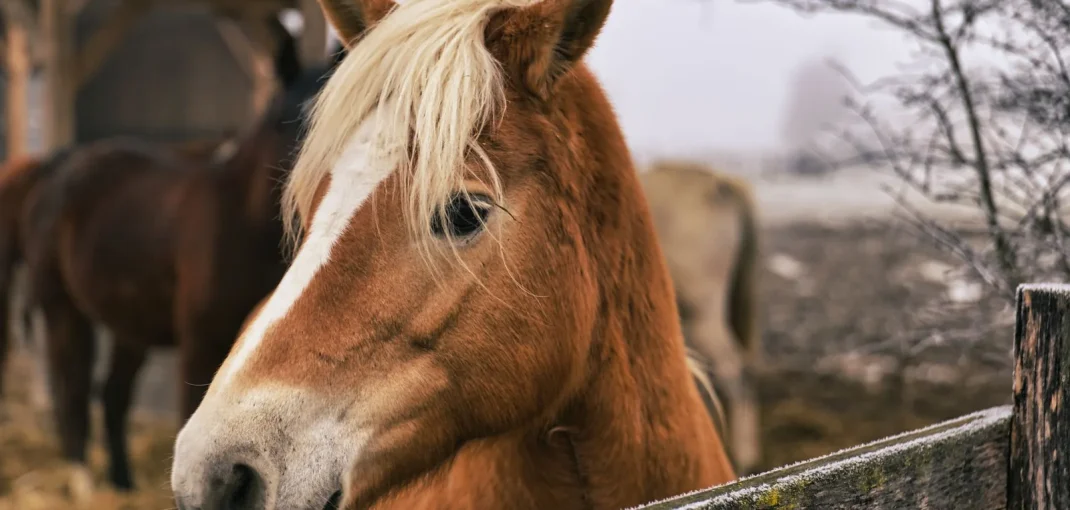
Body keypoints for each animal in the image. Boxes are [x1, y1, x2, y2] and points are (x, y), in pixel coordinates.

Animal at [19, 27, 344, 491]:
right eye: (291, 118)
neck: (243, 223)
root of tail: (57, 170)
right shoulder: (201, 343)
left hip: (129, 322)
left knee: (112, 393)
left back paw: (121, 481)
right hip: (62, 307)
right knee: (74, 386)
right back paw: (82, 480)